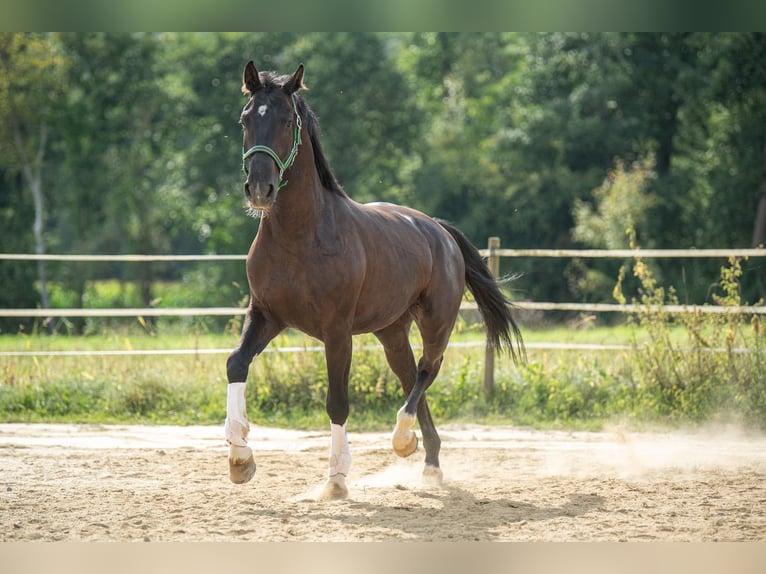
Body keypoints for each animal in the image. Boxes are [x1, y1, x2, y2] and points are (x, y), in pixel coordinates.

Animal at [224, 61, 524, 500]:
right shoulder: (267, 315)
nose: (260, 189)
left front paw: (336, 480)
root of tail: (439, 231)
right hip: (391, 332)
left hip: (436, 323)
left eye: (286, 120)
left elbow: (337, 401)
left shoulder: (336, 331)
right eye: (246, 118)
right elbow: (236, 364)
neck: (300, 238)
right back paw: (428, 462)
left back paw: (403, 440)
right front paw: (240, 460)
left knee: (426, 370)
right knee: (411, 377)